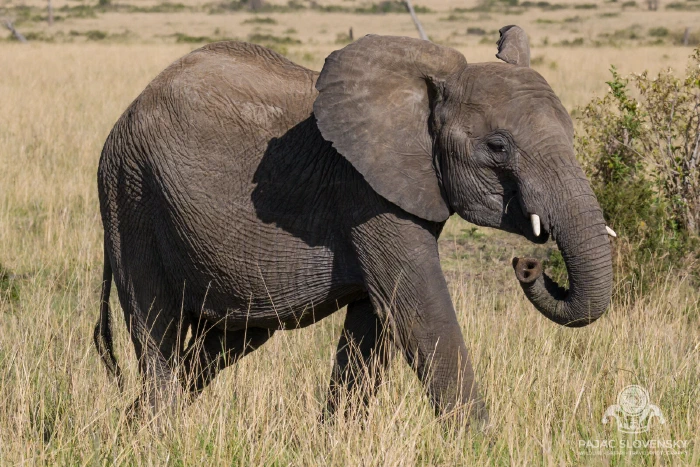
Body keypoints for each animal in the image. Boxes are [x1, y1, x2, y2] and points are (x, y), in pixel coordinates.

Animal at [94, 25, 614, 424]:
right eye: (499, 147)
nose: (530, 265)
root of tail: (127, 112)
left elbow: (374, 322)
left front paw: (335, 439)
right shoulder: (367, 194)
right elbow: (420, 312)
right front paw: (482, 446)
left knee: (221, 344)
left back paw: (133, 425)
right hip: (131, 194)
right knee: (156, 329)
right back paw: (157, 434)